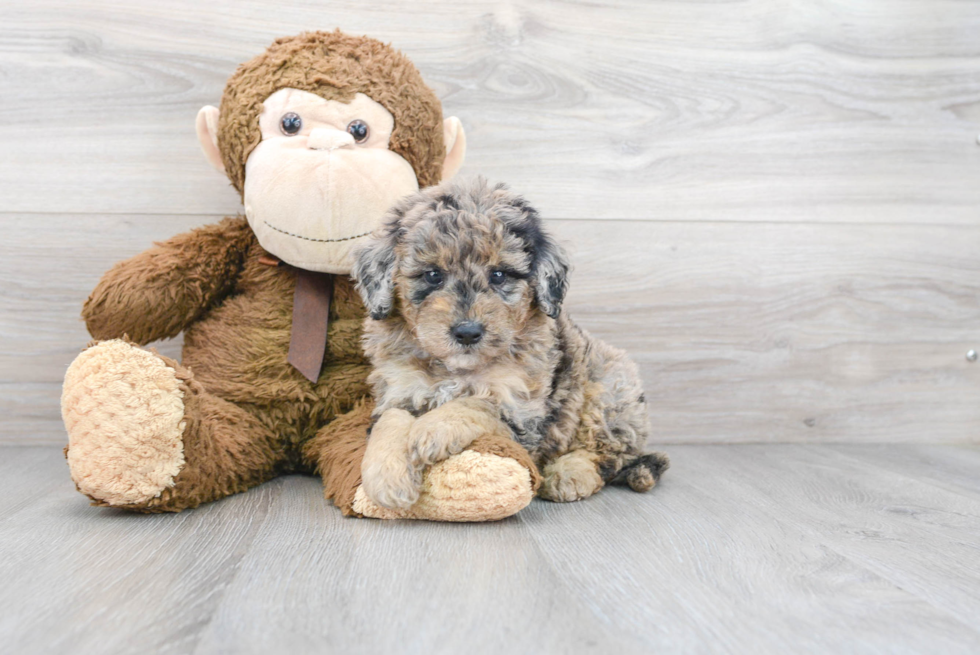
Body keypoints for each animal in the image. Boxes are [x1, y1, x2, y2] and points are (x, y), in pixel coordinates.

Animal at [350, 178, 668, 508]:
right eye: (433, 275)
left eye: (499, 274)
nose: (467, 332)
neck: (457, 369)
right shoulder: (399, 390)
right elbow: (389, 421)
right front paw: (387, 477)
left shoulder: (522, 414)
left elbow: (477, 403)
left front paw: (432, 429)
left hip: (611, 387)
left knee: (609, 455)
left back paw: (569, 473)